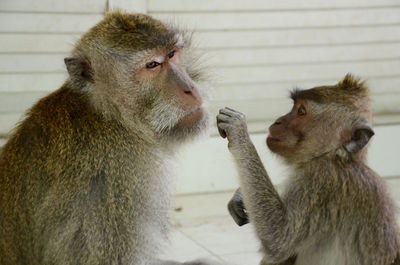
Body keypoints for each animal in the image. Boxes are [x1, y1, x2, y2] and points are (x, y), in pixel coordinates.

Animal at [217, 75, 400, 264]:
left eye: (301, 112)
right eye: (295, 107)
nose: (278, 121)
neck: (335, 156)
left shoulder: (320, 180)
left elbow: (278, 238)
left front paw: (239, 132)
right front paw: (240, 196)